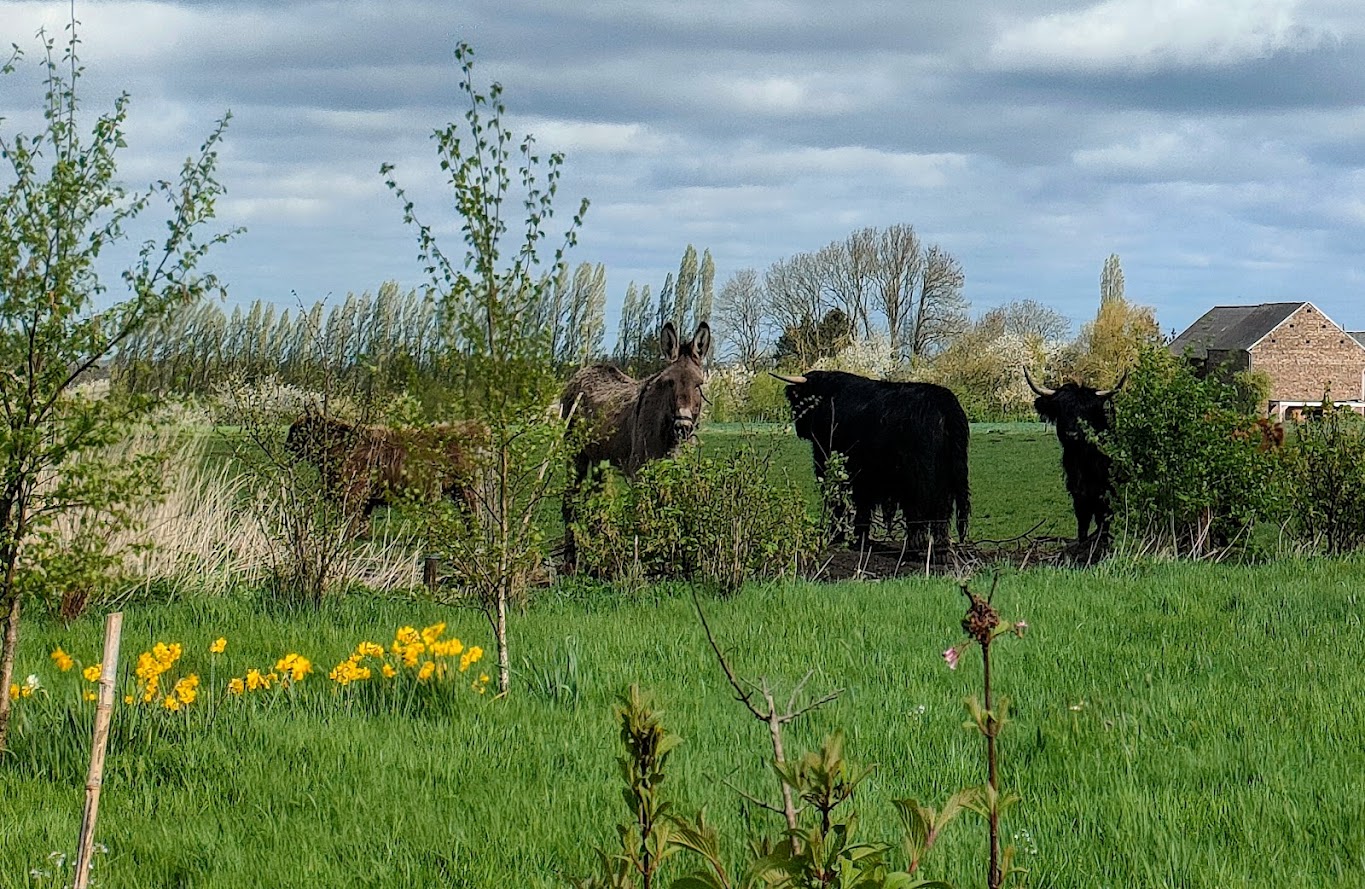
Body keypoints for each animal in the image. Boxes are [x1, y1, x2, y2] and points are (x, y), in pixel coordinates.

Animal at [559, 320, 712, 569]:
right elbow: (644, 518)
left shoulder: (675, 474)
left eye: (698, 384)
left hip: (599, 461)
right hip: (576, 455)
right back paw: (570, 560)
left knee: (596, 503)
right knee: (570, 502)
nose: (683, 427)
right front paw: (644, 565)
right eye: (669, 383)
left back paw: (597, 557)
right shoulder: (640, 472)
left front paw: (669, 562)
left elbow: (670, 513)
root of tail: (585, 370)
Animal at [771, 370, 971, 552]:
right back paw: (940, 546)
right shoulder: (867, 478)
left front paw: (840, 537)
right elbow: (862, 507)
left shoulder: (835, 463)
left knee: (920, 507)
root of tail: (944, 403)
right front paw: (859, 539)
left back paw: (916, 545)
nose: (799, 428)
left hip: (919, 476)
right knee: (943, 509)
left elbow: (841, 503)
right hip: (950, 475)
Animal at [1023, 368, 1124, 543]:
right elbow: (1082, 522)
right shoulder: (1078, 494)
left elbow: (1103, 521)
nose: (1072, 434)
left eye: (1086, 411)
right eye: (1061, 410)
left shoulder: (1106, 493)